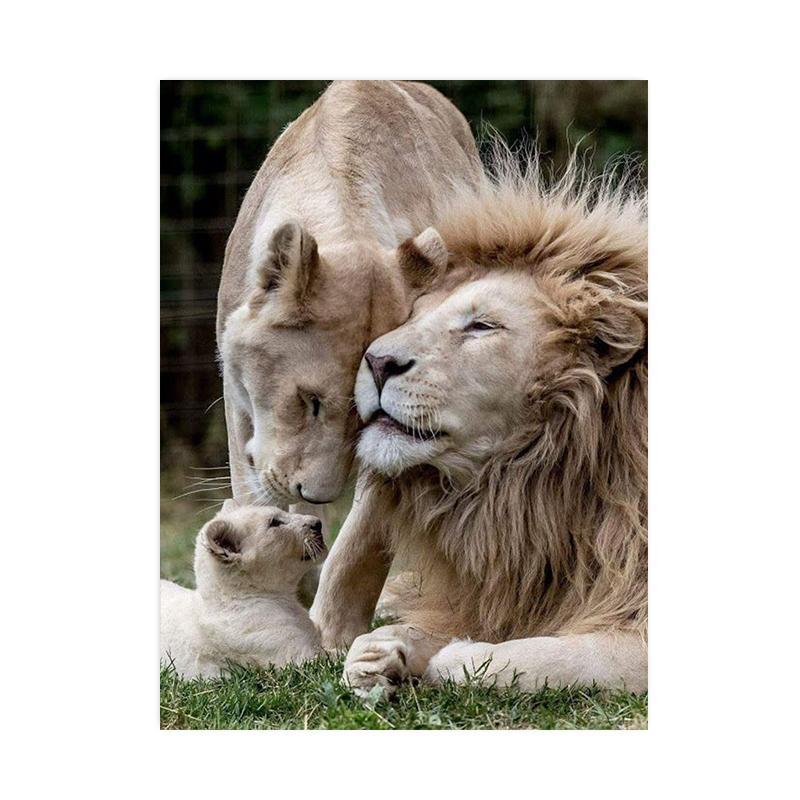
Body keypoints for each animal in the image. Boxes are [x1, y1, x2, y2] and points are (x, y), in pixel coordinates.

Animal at [310, 148, 648, 695]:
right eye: (413, 314)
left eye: (481, 326)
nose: (376, 361)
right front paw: (383, 650)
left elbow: (555, 657)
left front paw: (456, 658)